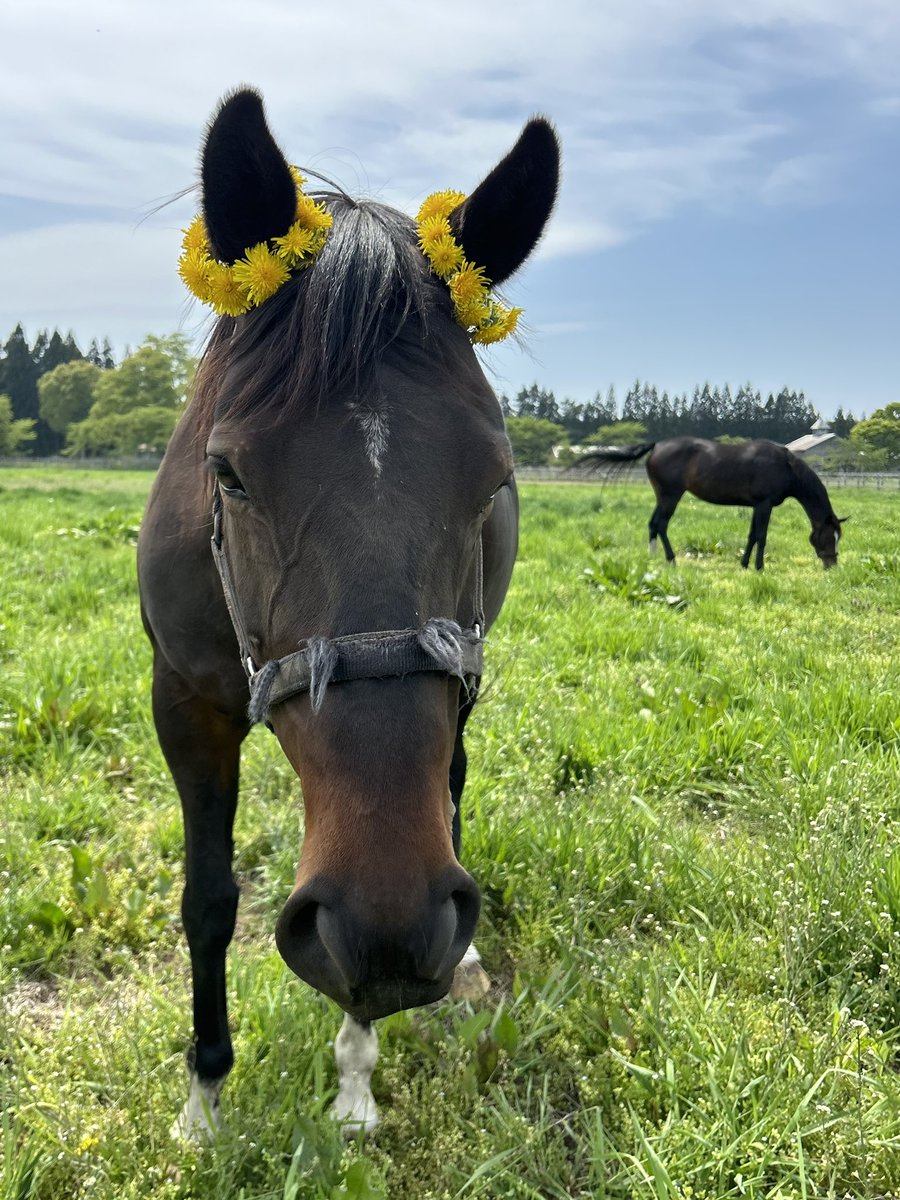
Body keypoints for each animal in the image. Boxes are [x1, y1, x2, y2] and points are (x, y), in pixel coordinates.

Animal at [137, 88, 561, 1137]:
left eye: (493, 477)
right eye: (228, 472)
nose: (394, 932)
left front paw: (356, 1084)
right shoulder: (183, 703)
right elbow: (208, 899)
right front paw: (204, 1102)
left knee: (451, 782)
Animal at [588, 436, 849, 571]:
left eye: (839, 537)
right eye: (829, 536)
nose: (832, 565)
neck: (786, 467)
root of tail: (657, 445)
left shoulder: (756, 506)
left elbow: (751, 536)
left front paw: (744, 564)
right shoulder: (764, 505)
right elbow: (761, 536)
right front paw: (759, 567)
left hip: (662, 497)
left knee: (653, 524)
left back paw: (653, 559)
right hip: (671, 496)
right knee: (661, 525)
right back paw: (671, 560)